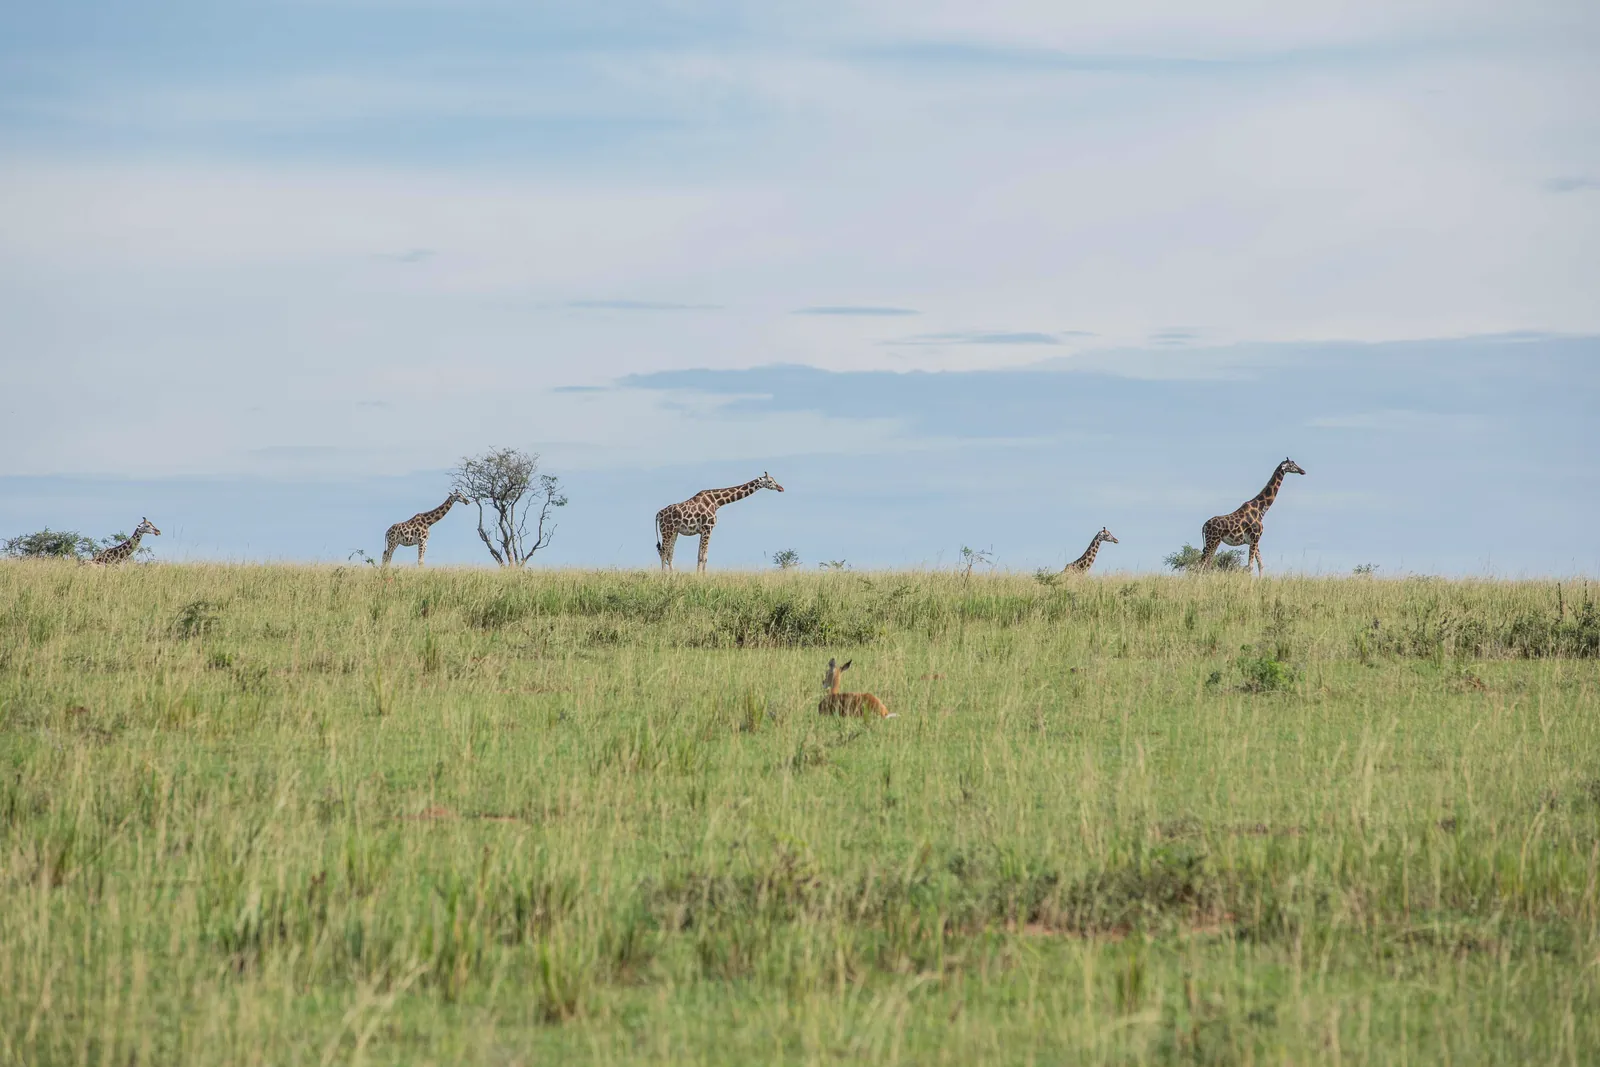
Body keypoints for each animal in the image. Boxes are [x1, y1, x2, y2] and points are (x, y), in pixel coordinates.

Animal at [655, 472, 784, 572]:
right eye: (770, 481)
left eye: (774, 479)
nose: (781, 488)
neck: (717, 502)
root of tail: (658, 514)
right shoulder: (708, 528)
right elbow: (704, 557)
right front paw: (702, 577)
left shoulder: (702, 531)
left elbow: (699, 556)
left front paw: (698, 575)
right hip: (667, 531)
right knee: (663, 552)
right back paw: (664, 576)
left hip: (674, 532)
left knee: (669, 553)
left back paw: (672, 575)